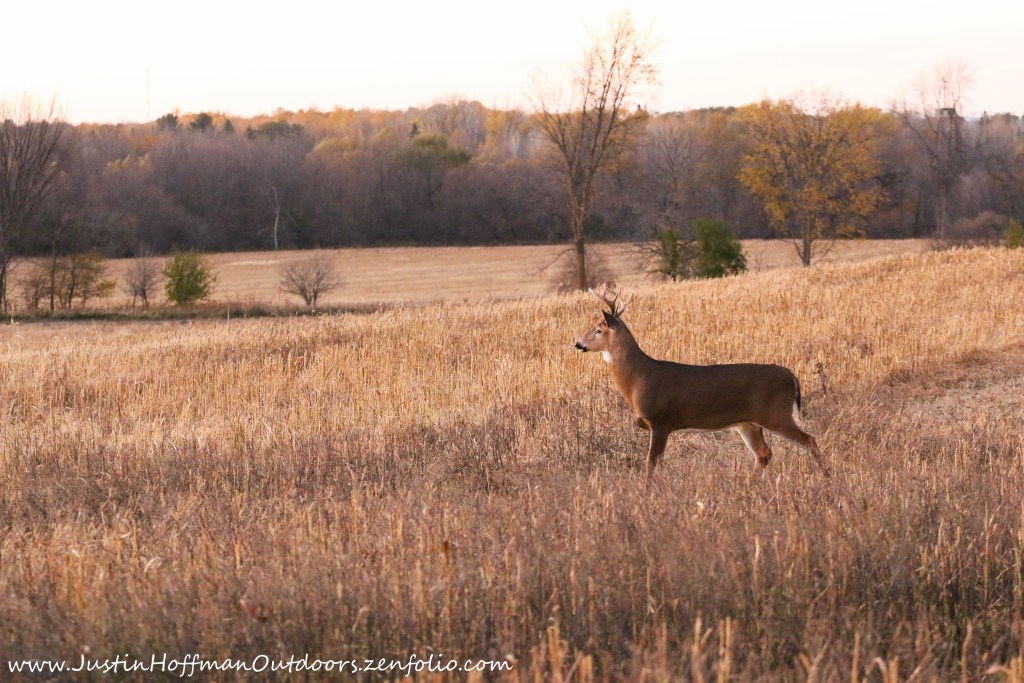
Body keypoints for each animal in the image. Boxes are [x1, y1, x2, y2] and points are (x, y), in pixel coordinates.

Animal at [573, 284, 827, 485]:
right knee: (763, 454)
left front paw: (648, 491)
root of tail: (792, 376)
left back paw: (827, 477)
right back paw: (746, 483)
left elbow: (651, 463)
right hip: (748, 423)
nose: (577, 343)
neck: (638, 378)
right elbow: (657, 463)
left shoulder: (661, 420)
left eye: (598, 330)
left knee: (810, 440)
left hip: (775, 414)